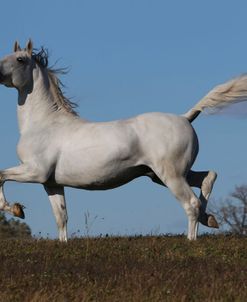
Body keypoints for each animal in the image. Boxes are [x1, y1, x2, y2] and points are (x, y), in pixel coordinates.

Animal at [0, 40, 247, 243]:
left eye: (20, 59)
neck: (45, 124)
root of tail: (185, 117)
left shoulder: (35, 171)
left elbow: (1, 175)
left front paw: (15, 209)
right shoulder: (51, 182)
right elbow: (61, 217)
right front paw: (62, 243)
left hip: (171, 176)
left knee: (191, 203)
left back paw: (192, 239)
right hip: (161, 175)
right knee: (208, 177)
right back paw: (210, 219)